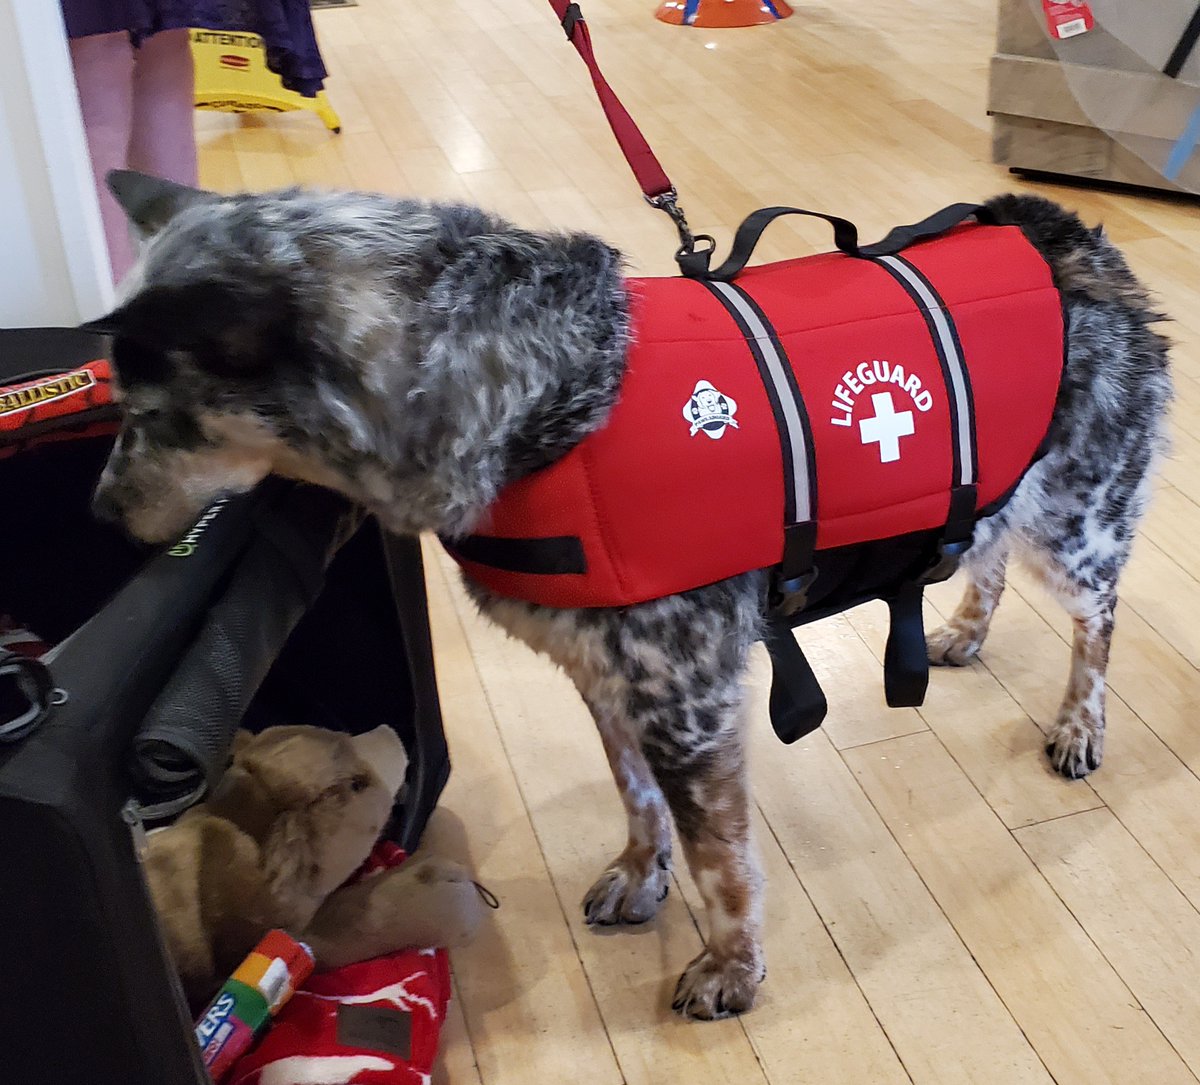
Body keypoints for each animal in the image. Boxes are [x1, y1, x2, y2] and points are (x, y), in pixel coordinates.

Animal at [87, 174, 1171, 1022]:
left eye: (154, 416)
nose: (98, 511)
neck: (543, 395)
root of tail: (1055, 225)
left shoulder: (687, 705)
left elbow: (723, 868)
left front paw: (732, 968)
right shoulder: (608, 679)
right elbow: (638, 801)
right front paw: (640, 872)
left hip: (1075, 519)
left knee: (1097, 619)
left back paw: (1080, 722)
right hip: (1001, 494)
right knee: (984, 554)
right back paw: (962, 630)